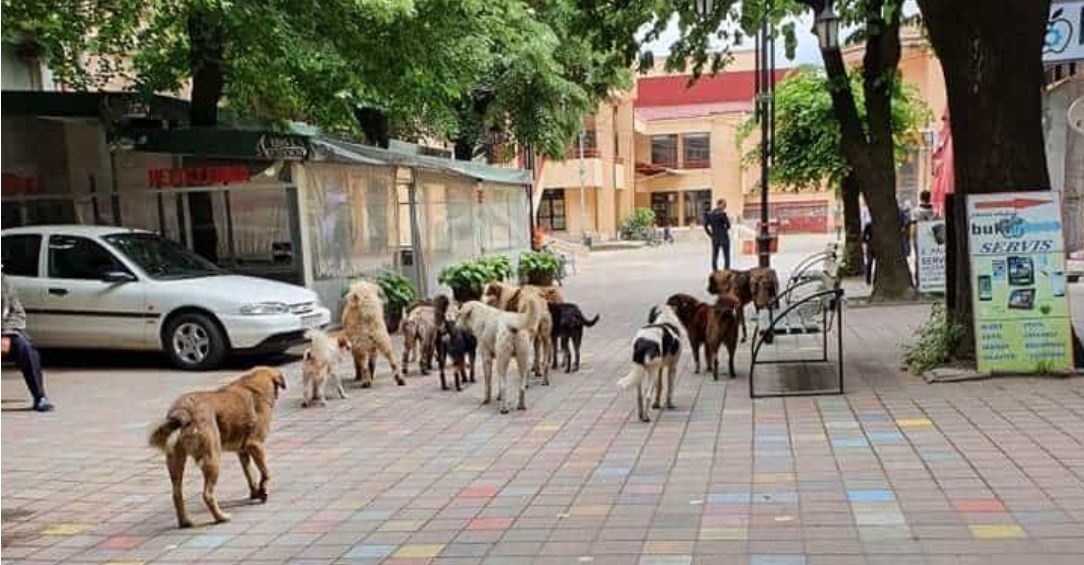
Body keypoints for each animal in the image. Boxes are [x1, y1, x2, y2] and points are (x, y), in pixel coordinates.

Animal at [146, 366, 288, 529]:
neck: (252, 386)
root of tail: (184, 410)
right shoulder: (255, 445)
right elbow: (265, 473)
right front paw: (263, 491)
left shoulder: (243, 451)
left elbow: (249, 474)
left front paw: (255, 492)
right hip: (212, 458)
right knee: (207, 494)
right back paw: (221, 517)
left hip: (176, 462)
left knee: (176, 494)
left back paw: (185, 522)